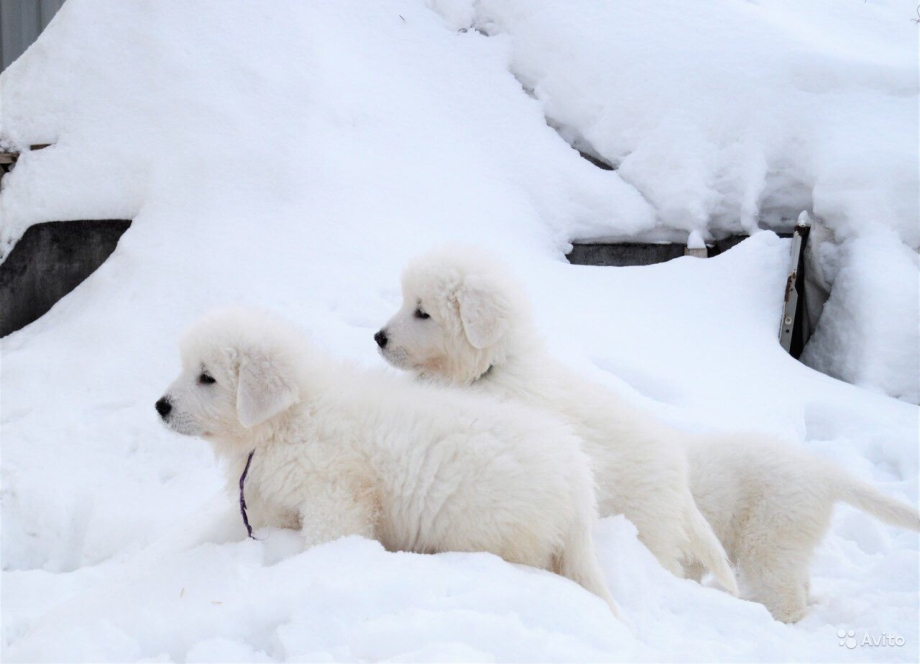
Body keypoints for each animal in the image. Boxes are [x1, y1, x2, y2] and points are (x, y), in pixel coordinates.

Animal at [156, 308, 618, 614]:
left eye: (208, 378)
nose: (160, 406)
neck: (288, 417)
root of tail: (579, 484)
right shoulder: (270, 497)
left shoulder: (336, 493)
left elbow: (329, 536)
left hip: (498, 532)